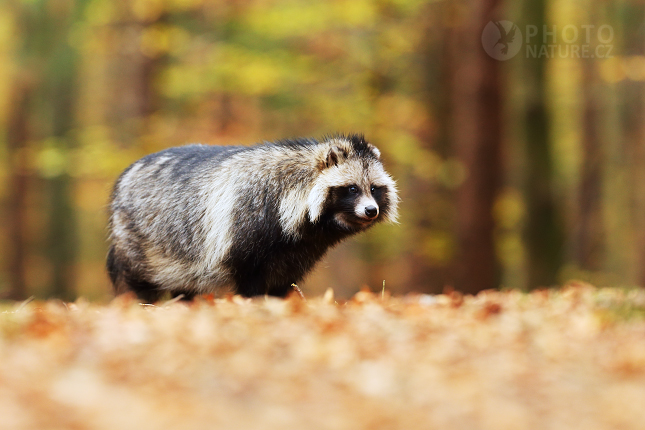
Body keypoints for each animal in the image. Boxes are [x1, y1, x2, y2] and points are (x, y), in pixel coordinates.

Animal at [106, 134, 398, 302]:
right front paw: (254, 304)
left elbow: (284, 279)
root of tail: (127, 173)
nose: (371, 210)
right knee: (137, 279)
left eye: (374, 188)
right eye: (352, 188)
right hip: (140, 239)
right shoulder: (247, 220)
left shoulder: (298, 251)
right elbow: (249, 277)